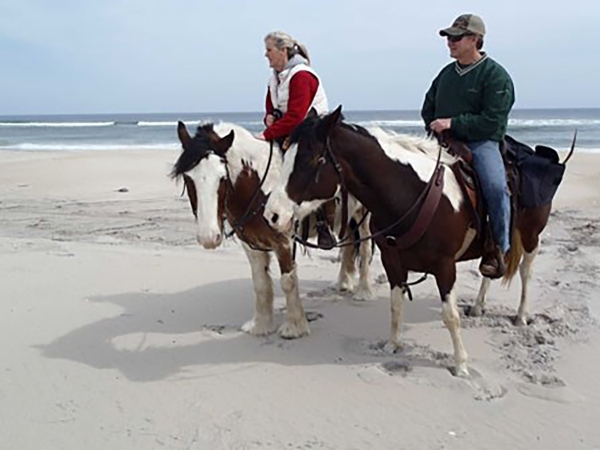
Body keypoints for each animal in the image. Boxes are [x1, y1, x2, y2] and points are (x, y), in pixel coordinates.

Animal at [171, 121, 372, 340]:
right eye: (188, 178)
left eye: (222, 177)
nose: (209, 237)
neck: (258, 185)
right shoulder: (251, 244)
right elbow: (260, 283)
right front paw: (260, 325)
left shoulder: (283, 242)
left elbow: (287, 281)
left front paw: (294, 326)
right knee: (350, 246)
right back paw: (343, 282)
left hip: (366, 215)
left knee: (365, 249)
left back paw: (364, 291)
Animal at [266, 106, 568, 376]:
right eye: (286, 155)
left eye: (312, 160)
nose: (272, 215)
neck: (411, 193)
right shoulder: (393, 261)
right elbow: (396, 304)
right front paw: (392, 345)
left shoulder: (445, 267)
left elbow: (450, 315)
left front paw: (461, 364)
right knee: (492, 267)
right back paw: (479, 305)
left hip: (530, 235)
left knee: (526, 271)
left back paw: (521, 315)